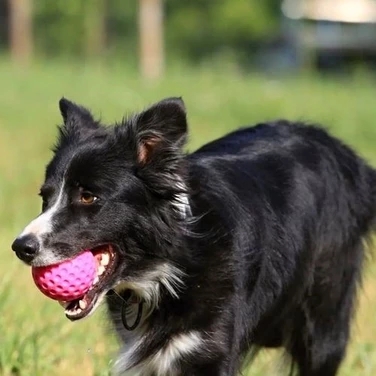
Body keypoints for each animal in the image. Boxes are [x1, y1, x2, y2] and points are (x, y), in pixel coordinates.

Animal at [11, 97, 376, 376]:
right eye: (45, 197)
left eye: (88, 196)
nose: (20, 247)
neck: (167, 265)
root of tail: (345, 154)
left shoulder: (207, 350)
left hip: (323, 323)